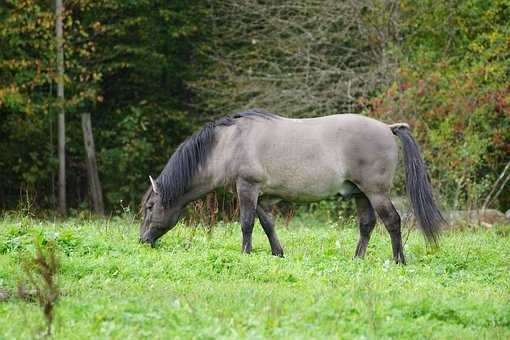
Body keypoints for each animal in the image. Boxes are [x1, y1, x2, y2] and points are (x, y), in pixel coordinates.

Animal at [137, 109, 444, 262]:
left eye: (150, 207)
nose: (142, 241)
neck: (229, 145)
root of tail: (387, 127)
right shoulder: (259, 193)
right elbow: (267, 223)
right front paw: (277, 253)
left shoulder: (246, 188)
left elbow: (246, 223)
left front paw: (246, 254)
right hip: (361, 194)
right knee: (367, 225)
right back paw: (357, 259)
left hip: (376, 192)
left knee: (392, 221)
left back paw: (399, 261)